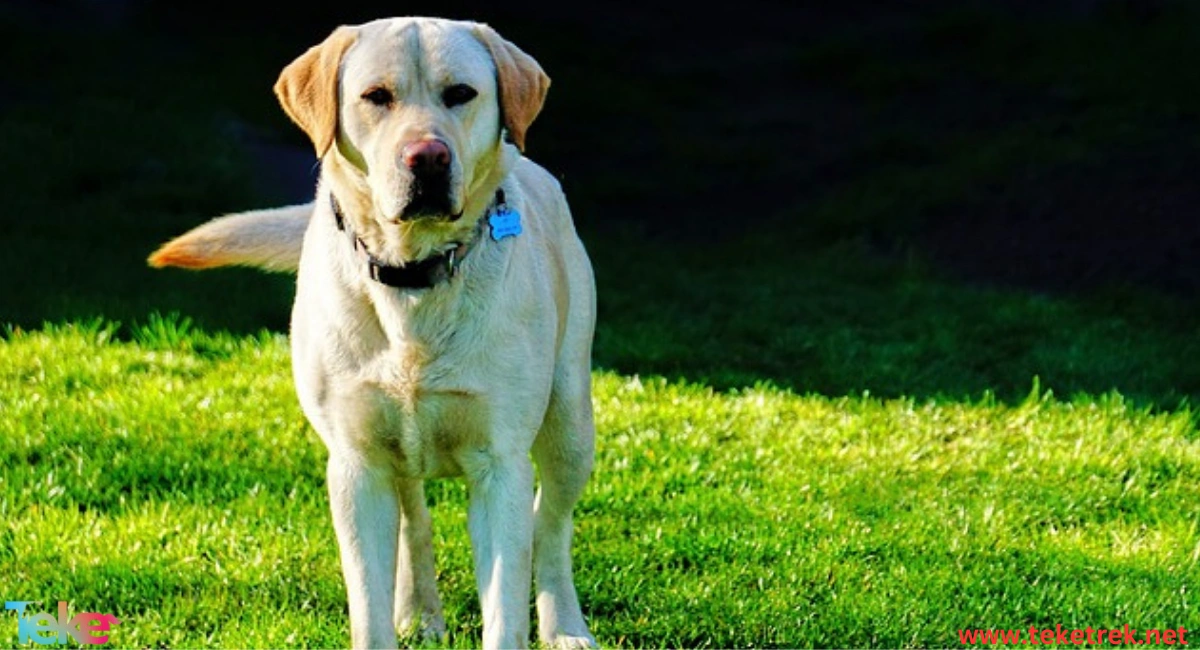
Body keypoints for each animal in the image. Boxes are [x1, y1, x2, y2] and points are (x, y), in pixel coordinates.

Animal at [150, 16, 600, 650]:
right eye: (376, 97)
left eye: (461, 93)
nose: (427, 157)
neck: (413, 275)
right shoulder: (356, 464)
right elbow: (369, 603)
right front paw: (397, 614)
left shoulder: (500, 464)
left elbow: (506, 602)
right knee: (415, 514)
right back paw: (420, 611)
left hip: (569, 421)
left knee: (552, 525)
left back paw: (565, 626)